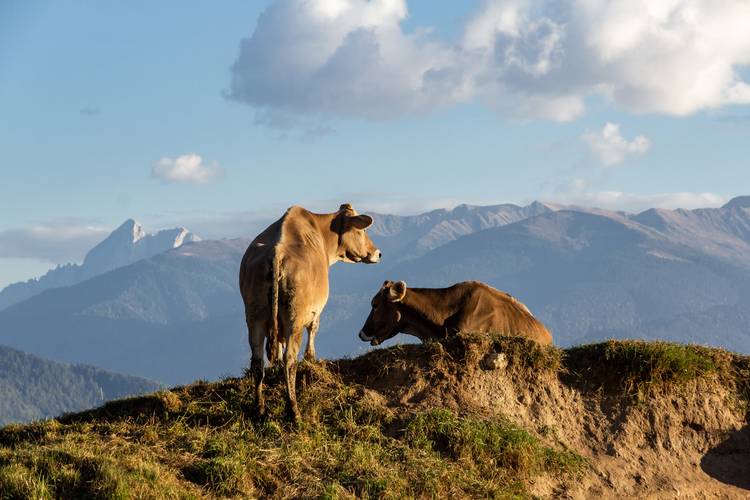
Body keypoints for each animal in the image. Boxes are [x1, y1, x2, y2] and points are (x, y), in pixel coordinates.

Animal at [241, 205, 382, 420]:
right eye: (363, 230)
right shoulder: (317, 308)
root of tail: (276, 253)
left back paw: (259, 408)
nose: (378, 253)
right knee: (290, 360)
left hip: (254, 316)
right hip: (295, 317)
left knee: (257, 362)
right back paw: (293, 410)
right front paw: (311, 357)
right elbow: (314, 328)